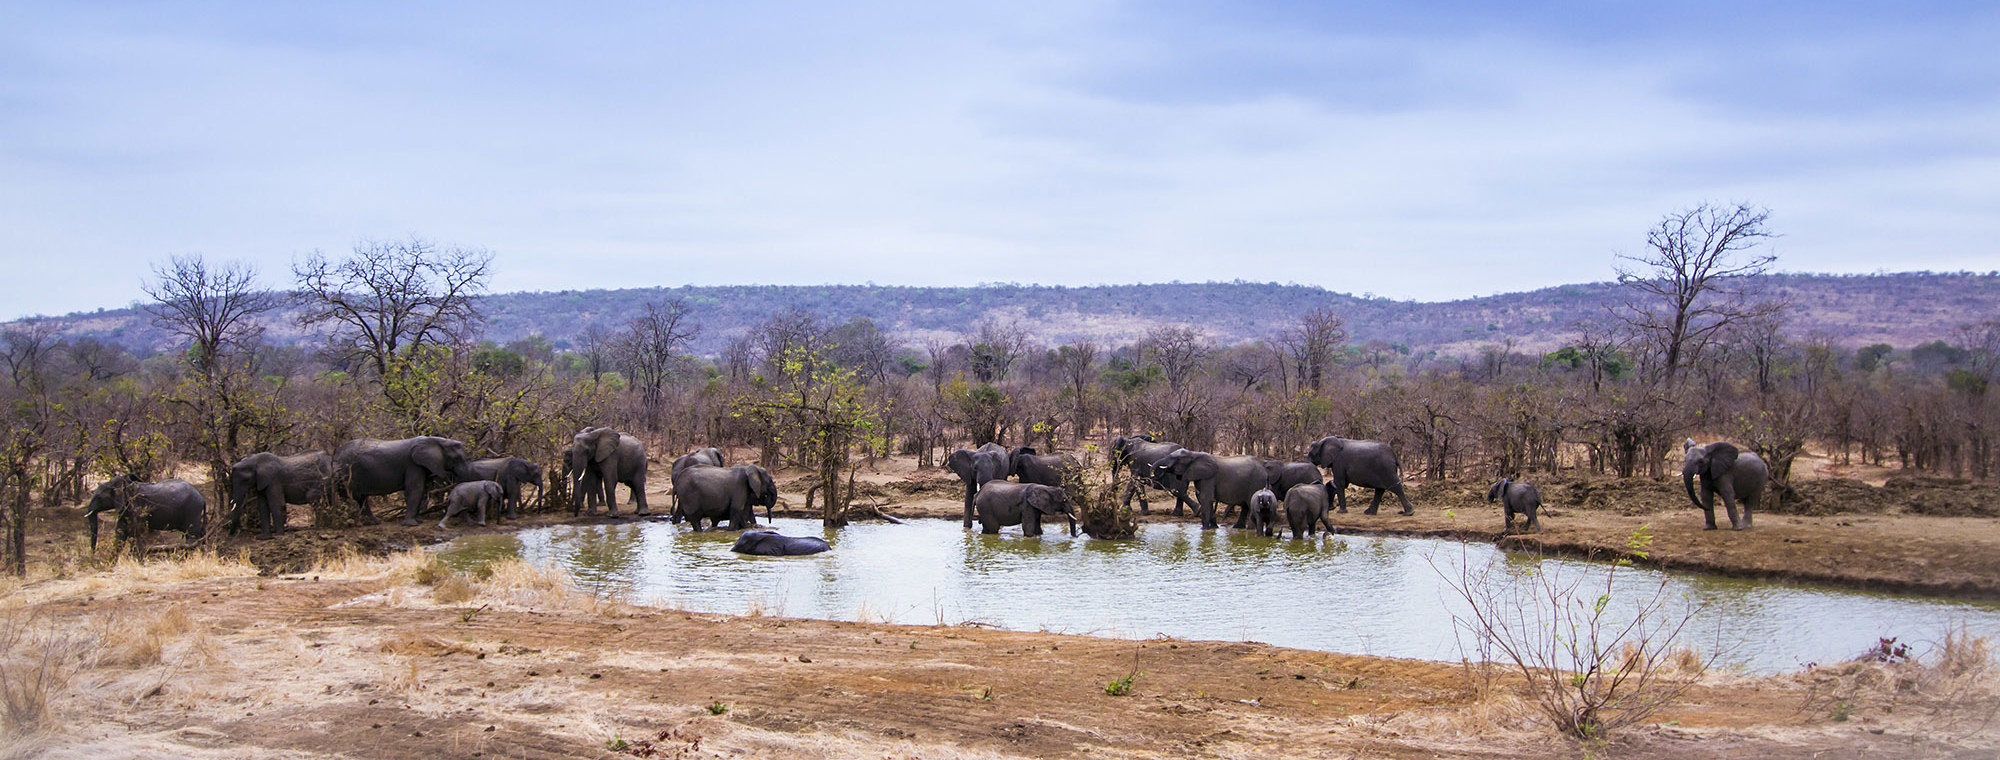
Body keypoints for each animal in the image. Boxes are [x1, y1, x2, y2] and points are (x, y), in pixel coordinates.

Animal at [332, 436, 479, 526]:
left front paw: (418, 520)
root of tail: (335, 454)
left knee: (361, 498)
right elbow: (415, 488)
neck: (439, 440)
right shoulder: (413, 464)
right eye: (457, 458)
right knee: (351, 496)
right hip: (347, 471)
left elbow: (421, 490)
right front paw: (412, 524)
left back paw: (373, 522)